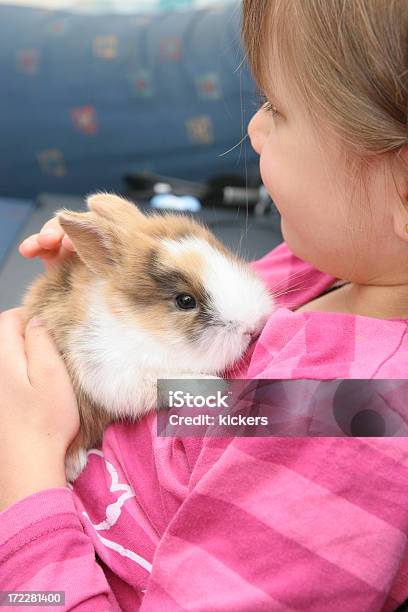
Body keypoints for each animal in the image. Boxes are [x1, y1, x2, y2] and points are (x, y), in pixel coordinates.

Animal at [21, 194, 274, 480]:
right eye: (185, 301)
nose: (253, 325)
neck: (142, 327)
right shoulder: (119, 377)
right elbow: (173, 382)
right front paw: (217, 388)